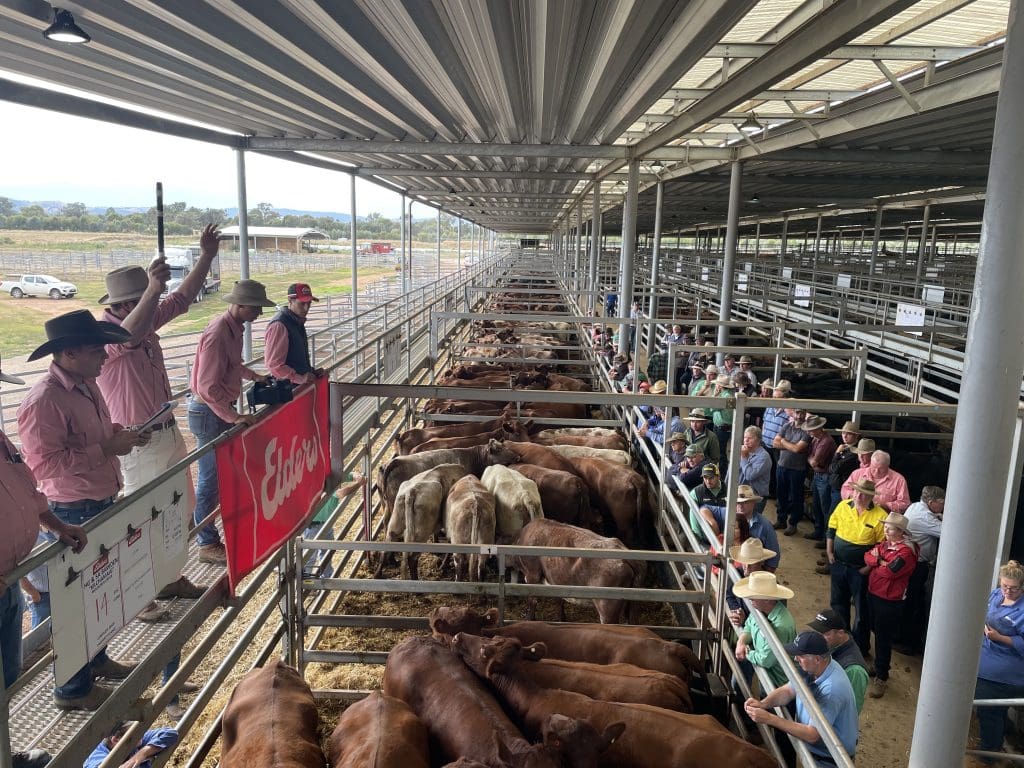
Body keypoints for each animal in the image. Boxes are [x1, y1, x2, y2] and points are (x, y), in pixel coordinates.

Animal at [509, 520, 643, 626]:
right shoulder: (555, 579)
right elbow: (558, 600)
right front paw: (561, 619)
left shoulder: (532, 574)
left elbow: (532, 600)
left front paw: (529, 619)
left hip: (607, 607)